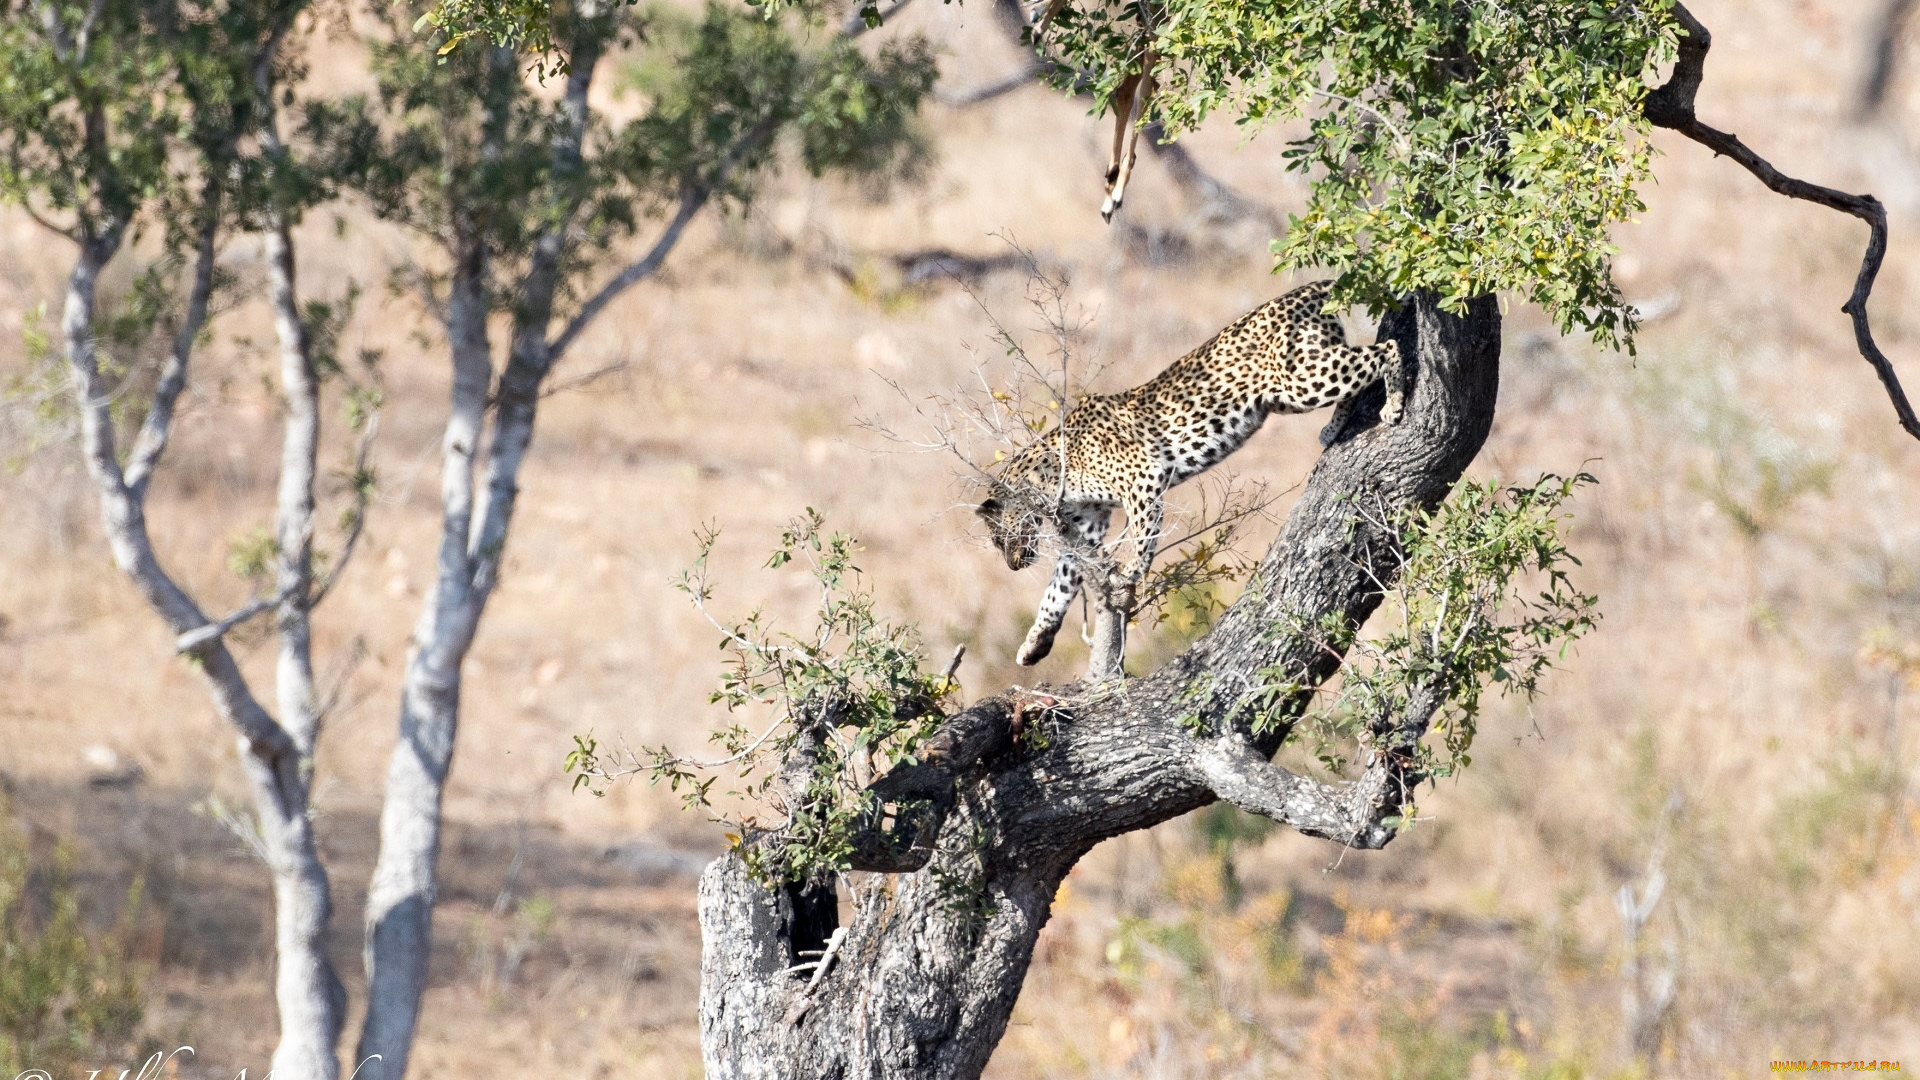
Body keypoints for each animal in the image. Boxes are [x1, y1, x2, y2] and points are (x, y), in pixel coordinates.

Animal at [983, 276, 1405, 664]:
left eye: (998, 537)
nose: (1012, 566)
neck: (1047, 476)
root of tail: (1307, 289)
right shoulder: (1088, 524)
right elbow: (1058, 587)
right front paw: (1034, 645)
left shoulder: (1143, 478)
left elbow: (1142, 535)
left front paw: (1133, 570)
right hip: (1291, 392)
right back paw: (1333, 429)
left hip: (1301, 379)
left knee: (1385, 350)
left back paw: (1395, 405)